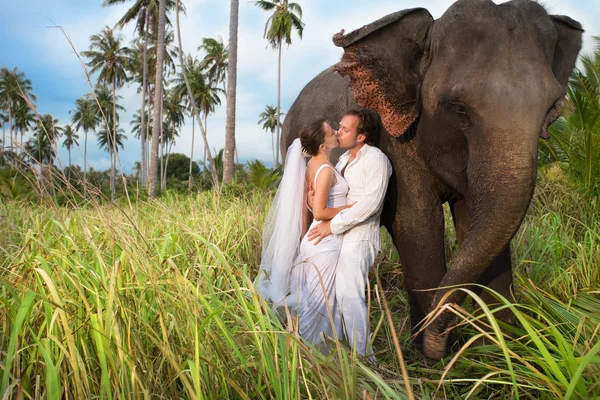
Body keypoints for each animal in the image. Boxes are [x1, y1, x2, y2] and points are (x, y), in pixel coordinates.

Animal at [282, 0, 580, 360]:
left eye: (552, 106)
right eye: (458, 108)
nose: (439, 338)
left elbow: (475, 222)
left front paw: (502, 348)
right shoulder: (393, 139)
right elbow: (417, 223)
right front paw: (431, 357)